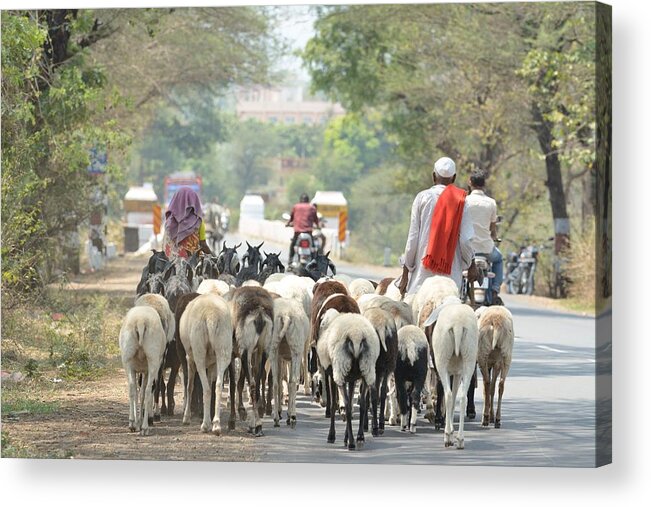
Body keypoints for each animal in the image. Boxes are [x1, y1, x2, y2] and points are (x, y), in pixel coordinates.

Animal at [118, 306, 168, 436]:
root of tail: (140, 321)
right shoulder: (146, 371)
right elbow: (143, 392)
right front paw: (140, 423)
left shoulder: (138, 370)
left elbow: (137, 393)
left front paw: (136, 422)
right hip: (153, 360)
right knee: (148, 390)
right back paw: (145, 427)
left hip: (127, 358)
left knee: (132, 389)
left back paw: (131, 423)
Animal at [181, 292, 234, 434]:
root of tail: (211, 315)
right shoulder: (212, 364)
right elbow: (211, 382)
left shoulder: (189, 358)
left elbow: (189, 386)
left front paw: (186, 417)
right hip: (223, 348)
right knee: (218, 385)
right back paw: (216, 425)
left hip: (198, 351)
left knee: (206, 389)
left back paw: (205, 425)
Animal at [432, 302, 478, 448]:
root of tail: (458, 325)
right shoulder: (458, 372)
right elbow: (454, 398)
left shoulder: (452, 372)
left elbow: (450, 397)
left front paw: (449, 432)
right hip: (469, 357)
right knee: (462, 397)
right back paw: (460, 439)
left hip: (442, 358)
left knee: (448, 395)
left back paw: (447, 437)